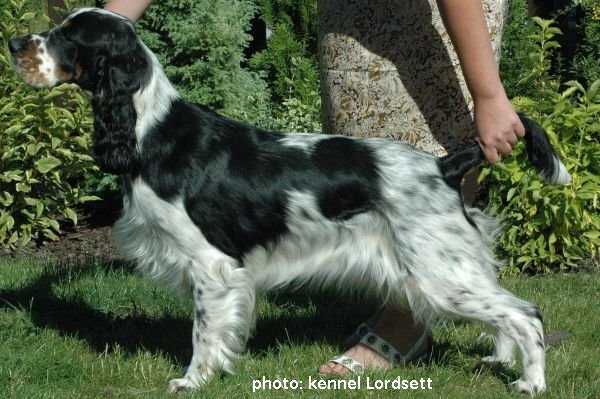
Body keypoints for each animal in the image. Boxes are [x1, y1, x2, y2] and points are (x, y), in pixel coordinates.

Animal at [10, 7, 572, 396]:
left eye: (67, 37)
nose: (14, 41)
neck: (150, 130)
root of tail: (442, 165)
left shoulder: (211, 265)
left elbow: (203, 332)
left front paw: (192, 381)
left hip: (441, 271)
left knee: (527, 314)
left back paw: (531, 383)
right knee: (505, 314)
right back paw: (500, 362)